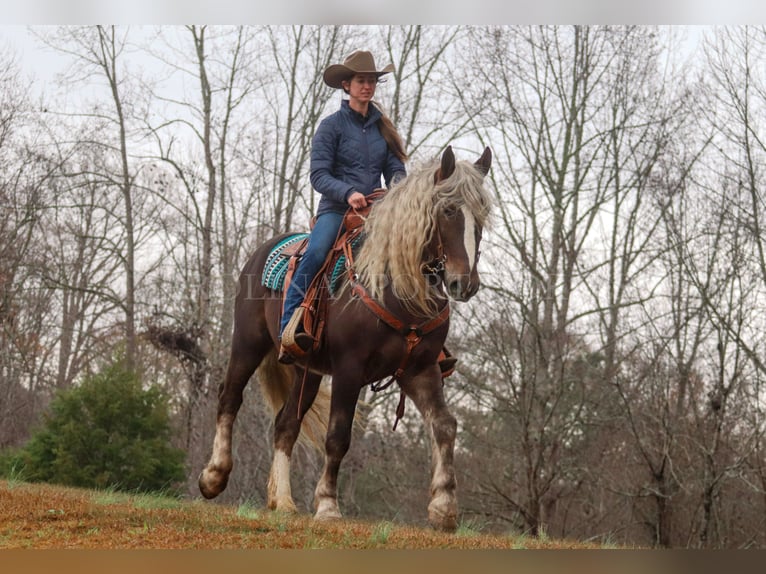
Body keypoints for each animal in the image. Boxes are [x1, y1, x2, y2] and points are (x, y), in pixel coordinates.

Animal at [200, 146, 492, 532]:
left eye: (482, 214)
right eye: (448, 210)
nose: (465, 283)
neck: (396, 288)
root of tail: (264, 249)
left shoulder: (420, 370)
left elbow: (444, 425)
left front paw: (444, 508)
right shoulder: (349, 370)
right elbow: (338, 436)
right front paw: (327, 504)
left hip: (306, 371)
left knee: (285, 425)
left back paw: (284, 501)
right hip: (248, 343)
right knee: (229, 398)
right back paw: (214, 476)